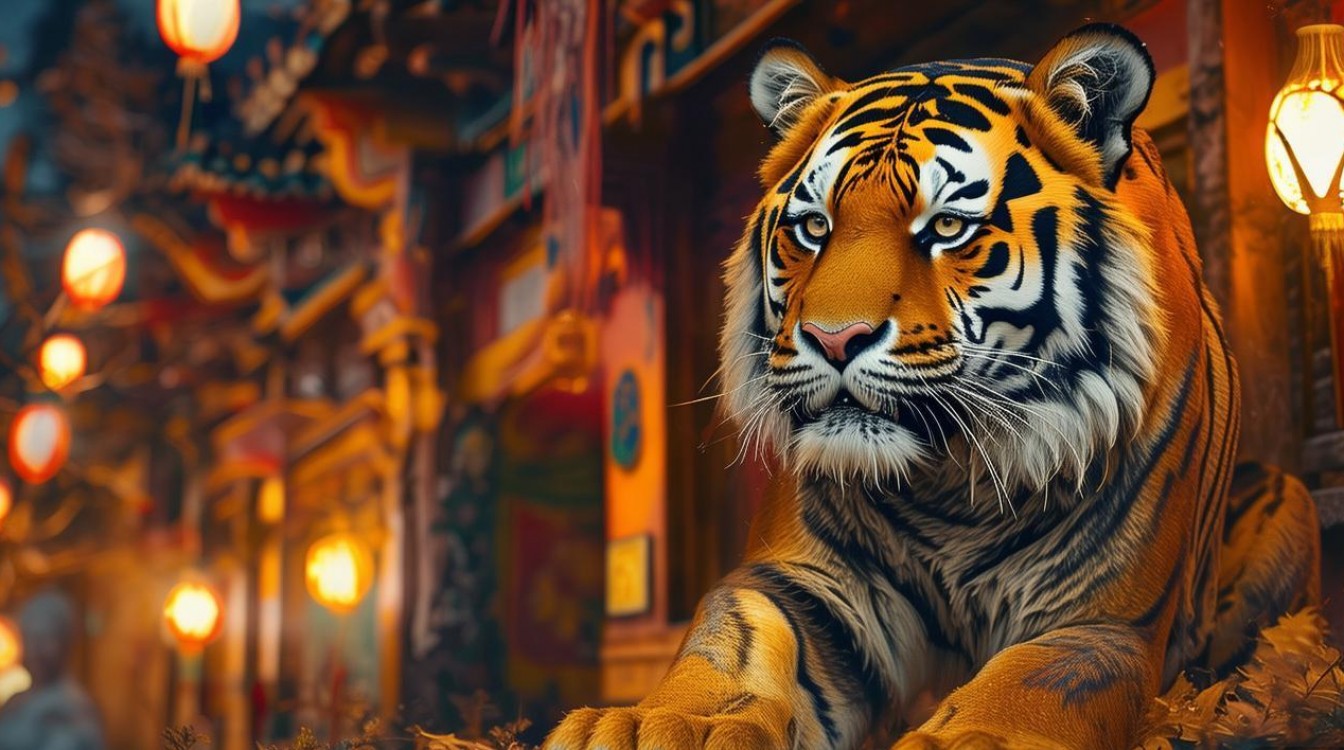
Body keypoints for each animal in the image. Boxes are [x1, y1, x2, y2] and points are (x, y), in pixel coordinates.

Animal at [545, 23, 1321, 750]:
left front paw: (972, 734)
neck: (950, 487)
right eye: (815, 226)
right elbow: (727, 642)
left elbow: (1032, 682)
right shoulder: (799, 584)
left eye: (946, 226)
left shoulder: (1101, 618)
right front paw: (662, 723)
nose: (834, 339)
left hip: (1290, 503)